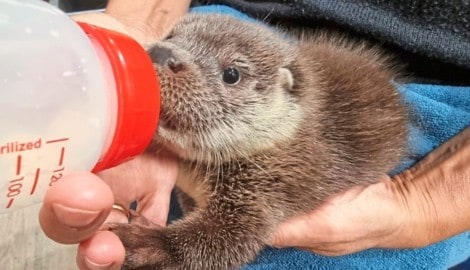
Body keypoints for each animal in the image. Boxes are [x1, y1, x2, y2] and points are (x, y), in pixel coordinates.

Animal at [109, 13, 408, 270]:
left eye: (231, 74)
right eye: (172, 35)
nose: (164, 52)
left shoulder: (270, 187)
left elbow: (224, 241)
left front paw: (144, 243)